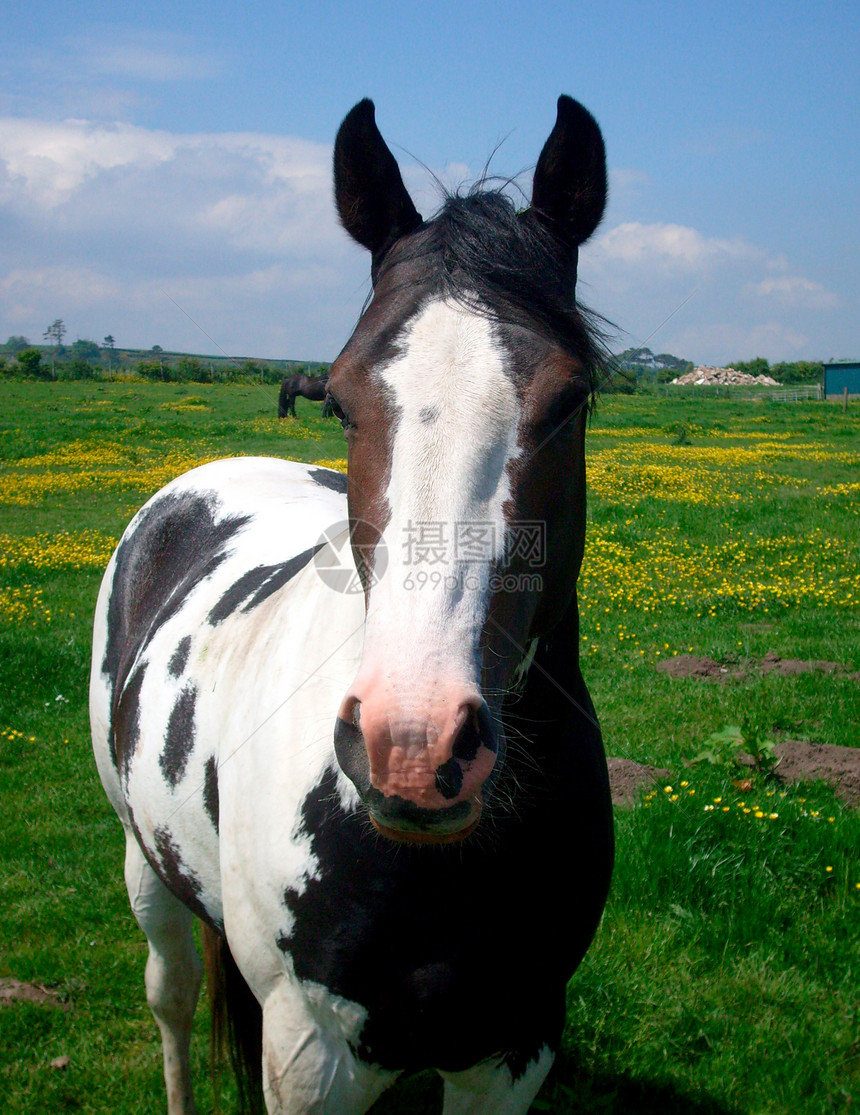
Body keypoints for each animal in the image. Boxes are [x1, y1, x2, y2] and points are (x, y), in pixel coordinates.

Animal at [90, 98, 615, 1115]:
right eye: (337, 399)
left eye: (572, 400)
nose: (414, 745)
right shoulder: (311, 1055)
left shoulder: (515, 1048)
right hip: (147, 869)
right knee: (173, 1000)